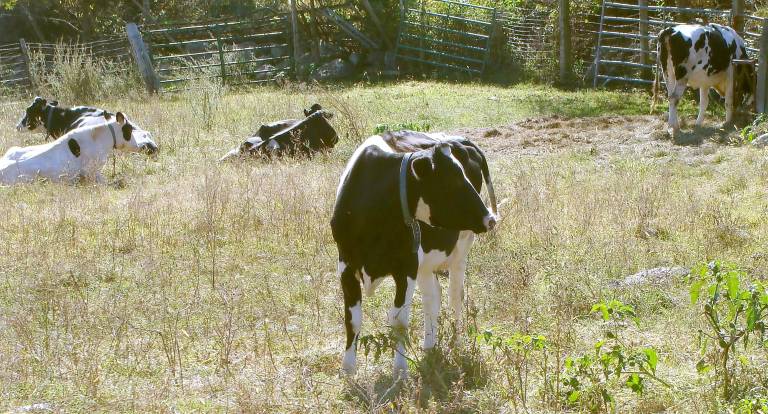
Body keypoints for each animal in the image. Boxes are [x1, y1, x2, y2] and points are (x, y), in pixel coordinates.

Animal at [330, 131, 498, 380]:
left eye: (464, 176)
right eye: (452, 181)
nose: (489, 219)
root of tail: (460, 138)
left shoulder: (406, 266)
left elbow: (399, 321)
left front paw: (400, 370)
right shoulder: (346, 264)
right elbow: (352, 320)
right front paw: (348, 371)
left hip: (461, 248)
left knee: (455, 296)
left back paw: (457, 344)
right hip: (425, 263)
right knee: (433, 297)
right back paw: (429, 346)